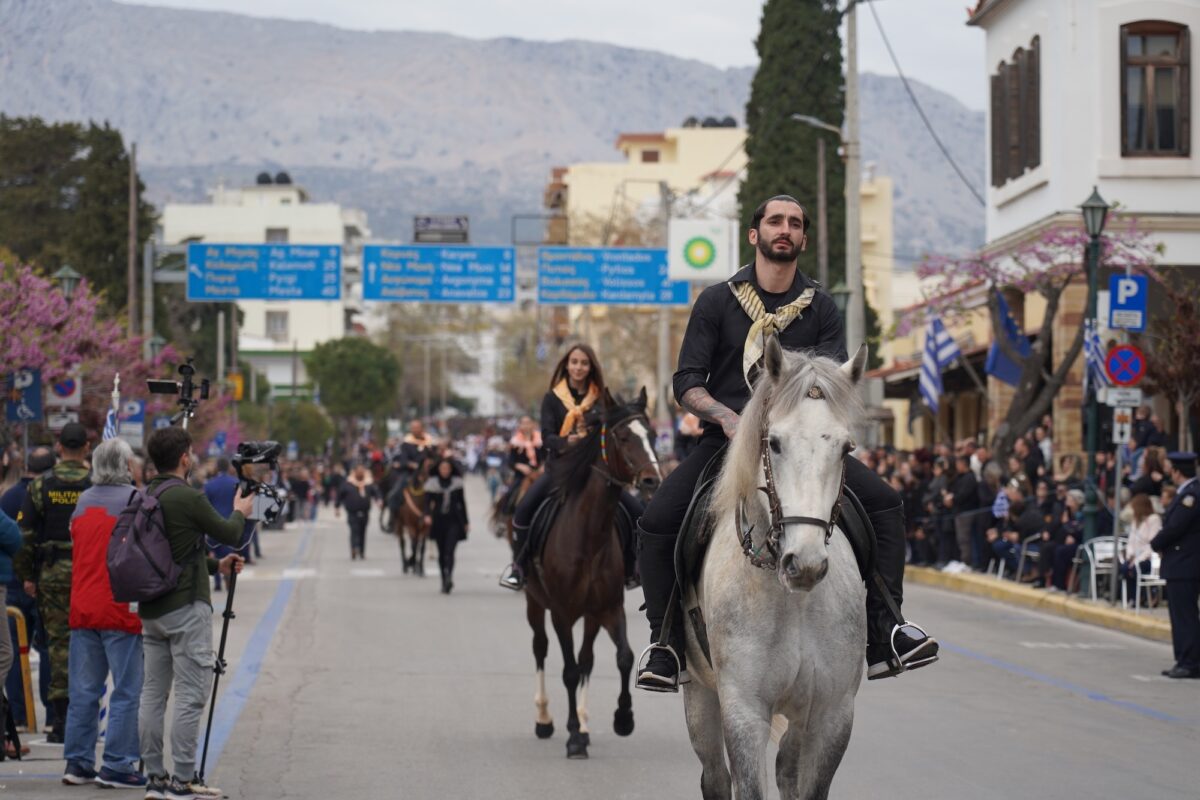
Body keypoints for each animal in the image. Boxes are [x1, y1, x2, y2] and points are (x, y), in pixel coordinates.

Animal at [523, 391, 662, 762]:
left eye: (653, 435)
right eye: (624, 437)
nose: (652, 480)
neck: (588, 534)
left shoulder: (608, 608)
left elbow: (623, 658)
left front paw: (623, 718)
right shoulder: (561, 613)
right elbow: (569, 671)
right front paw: (572, 737)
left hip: (591, 615)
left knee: (587, 659)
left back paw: (585, 725)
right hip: (534, 603)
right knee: (540, 649)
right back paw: (544, 720)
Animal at [686, 340, 864, 800]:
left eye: (846, 448)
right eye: (775, 443)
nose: (805, 565)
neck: (793, 603)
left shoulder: (832, 712)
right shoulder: (744, 711)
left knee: (786, 768)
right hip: (699, 695)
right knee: (714, 777)